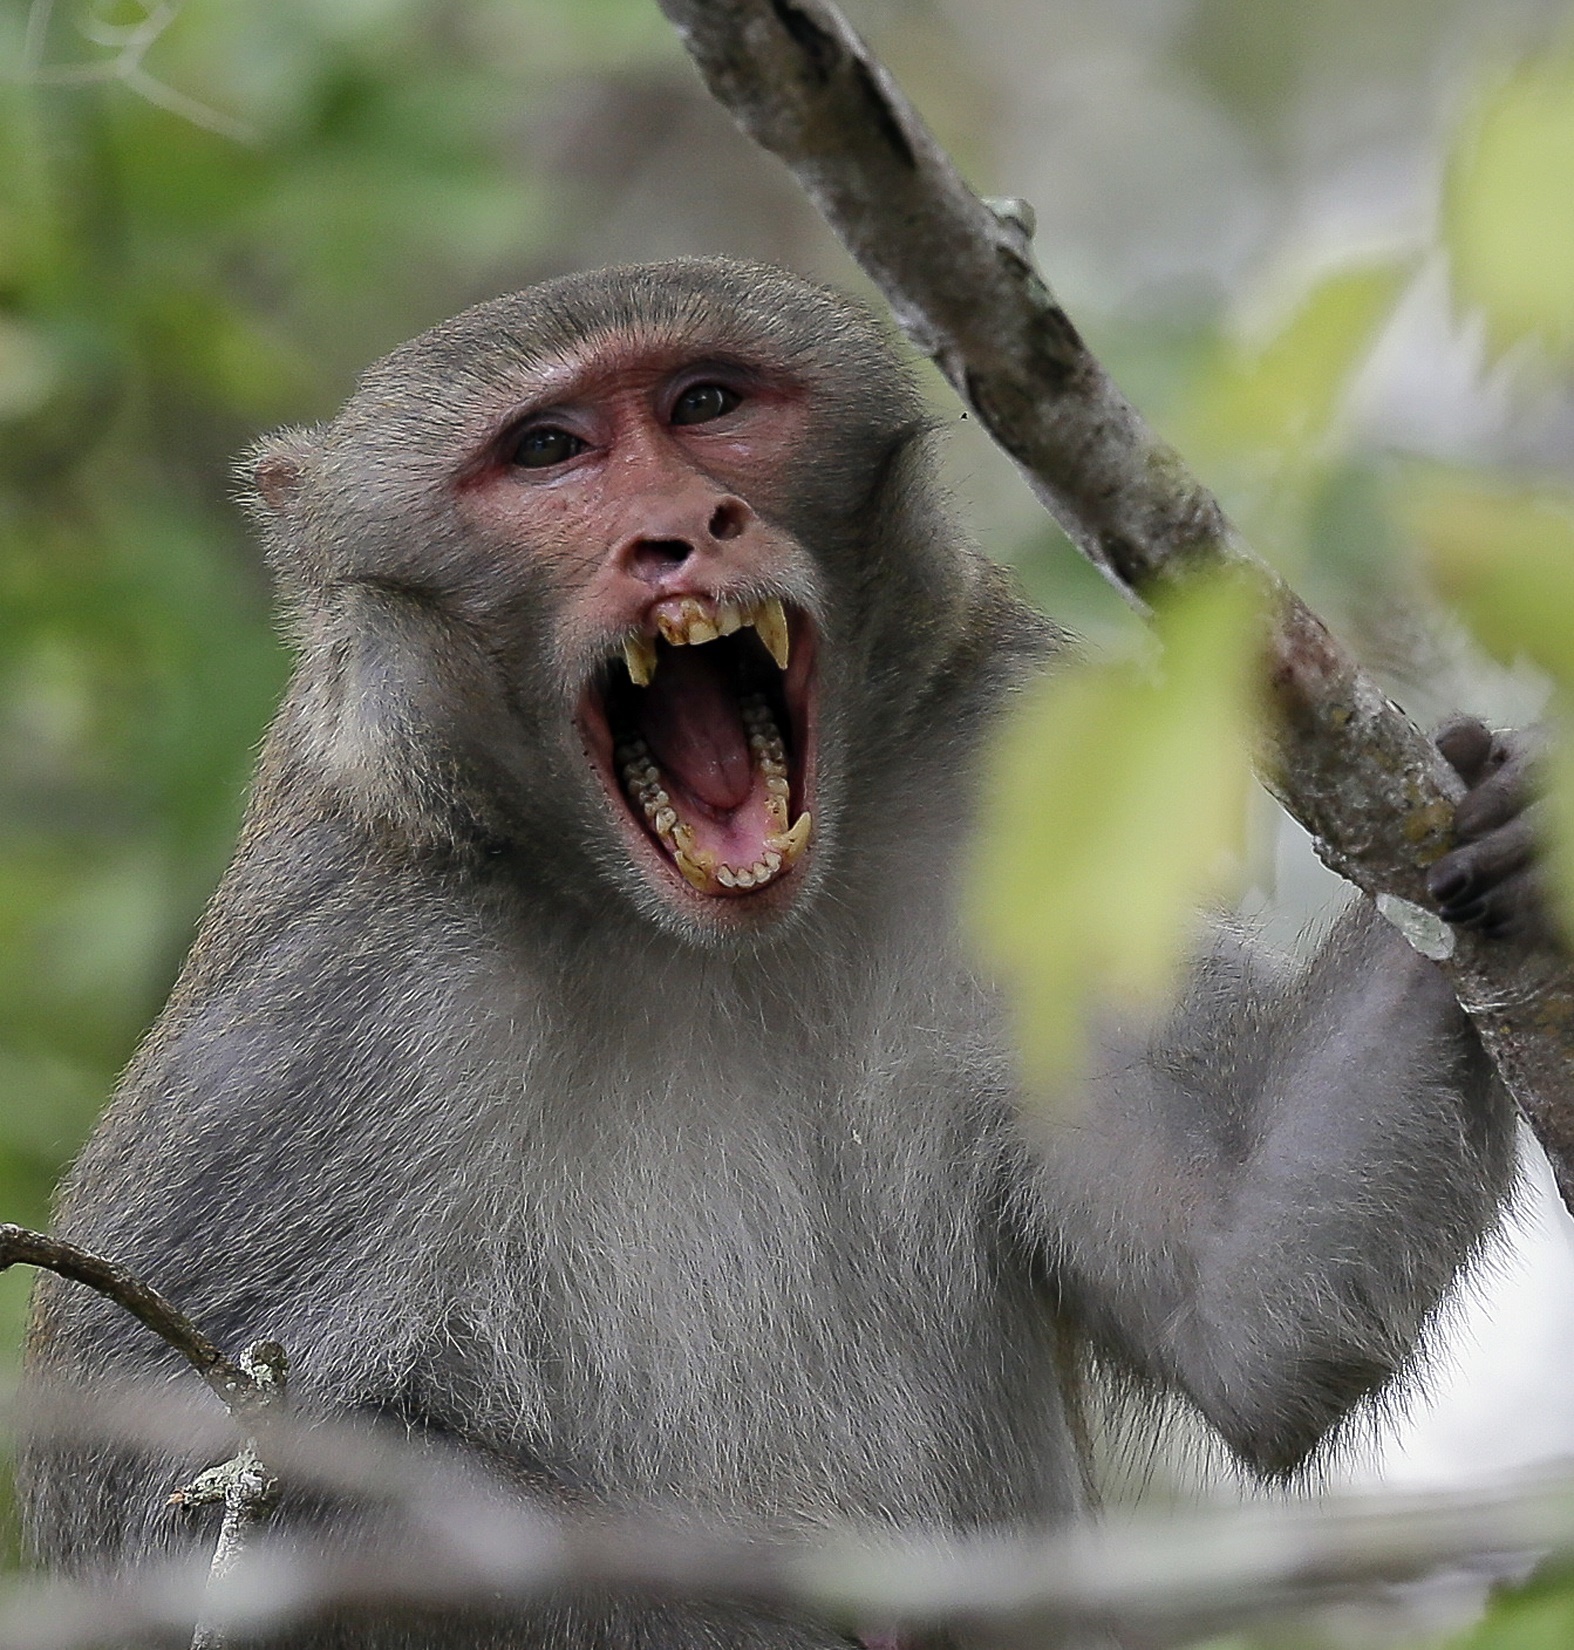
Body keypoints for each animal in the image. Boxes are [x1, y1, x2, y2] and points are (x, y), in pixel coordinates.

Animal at [15, 260, 1531, 1650]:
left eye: (706, 403)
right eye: (548, 450)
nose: (681, 530)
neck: (692, 937)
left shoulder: (997, 778)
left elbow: (1240, 1286)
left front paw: (1509, 811)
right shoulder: (344, 975)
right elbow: (160, 1490)